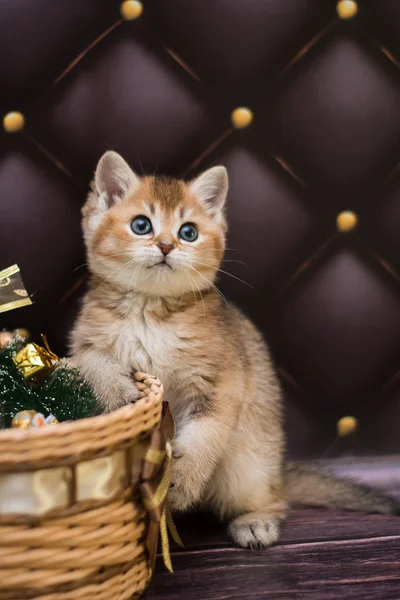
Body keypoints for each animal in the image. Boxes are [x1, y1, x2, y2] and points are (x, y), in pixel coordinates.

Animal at [69, 151, 400, 548]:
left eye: (188, 232)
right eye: (141, 225)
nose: (166, 245)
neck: (151, 312)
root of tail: (277, 471)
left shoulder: (222, 382)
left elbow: (206, 436)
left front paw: (182, 479)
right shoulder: (83, 340)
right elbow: (91, 360)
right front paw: (119, 389)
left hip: (248, 467)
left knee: (274, 498)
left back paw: (257, 520)